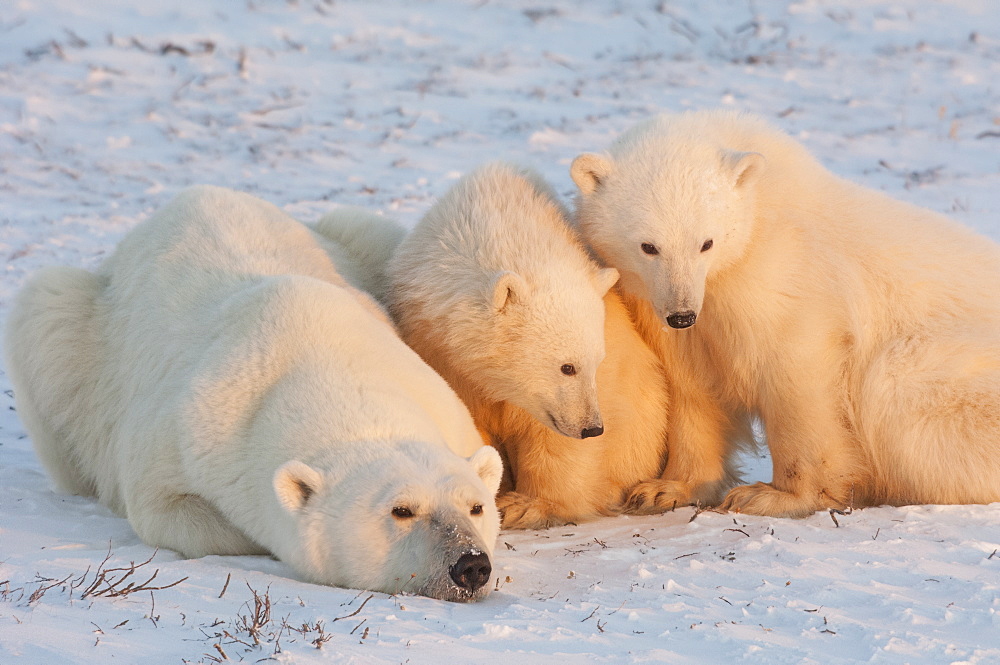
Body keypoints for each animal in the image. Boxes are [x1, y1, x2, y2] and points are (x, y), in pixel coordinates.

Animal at [5, 184, 508, 600]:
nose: (469, 565)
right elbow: (165, 507)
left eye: (476, 506)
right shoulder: (190, 426)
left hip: (364, 245)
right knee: (46, 311)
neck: (318, 361)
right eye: (401, 510)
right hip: (80, 332)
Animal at [386, 163, 668, 528]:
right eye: (567, 366)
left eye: (596, 362)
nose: (592, 427)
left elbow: (551, 437)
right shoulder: (439, 350)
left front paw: (523, 505)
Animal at [572, 109, 1000, 516]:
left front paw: (772, 496)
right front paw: (664, 489)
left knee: (891, 382)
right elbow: (692, 385)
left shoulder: (786, 275)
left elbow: (795, 376)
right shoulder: (671, 310)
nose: (682, 314)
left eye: (706, 243)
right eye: (649, 246)